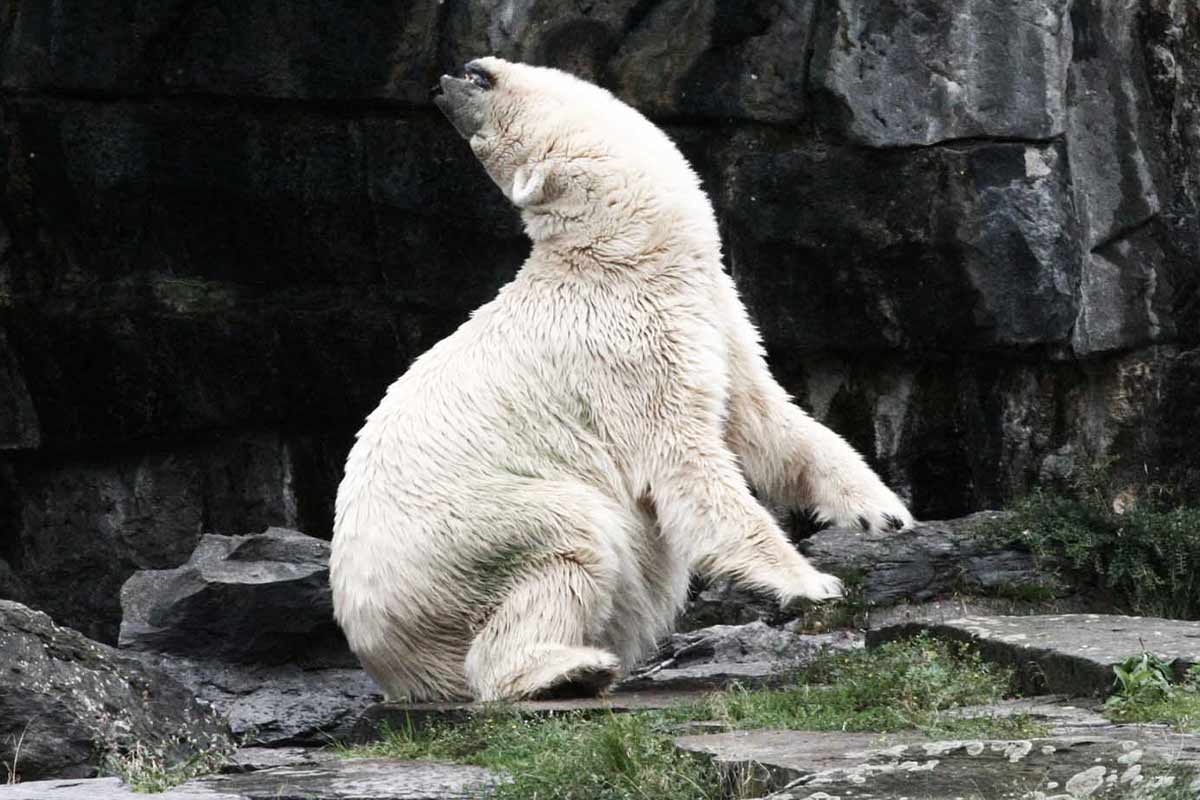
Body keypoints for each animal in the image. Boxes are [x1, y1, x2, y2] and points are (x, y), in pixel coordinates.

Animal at [328, 59, 907, 705]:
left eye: (478, 122)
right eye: (484, 143)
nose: (444, 82)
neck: (632, 255)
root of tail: (387, 659)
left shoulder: (717, 320)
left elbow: (769, 425)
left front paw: (883, 512)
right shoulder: (628, 350)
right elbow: (690, 466)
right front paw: (810, 582)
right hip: (460, 538)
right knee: (567, 538)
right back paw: (567, 668)